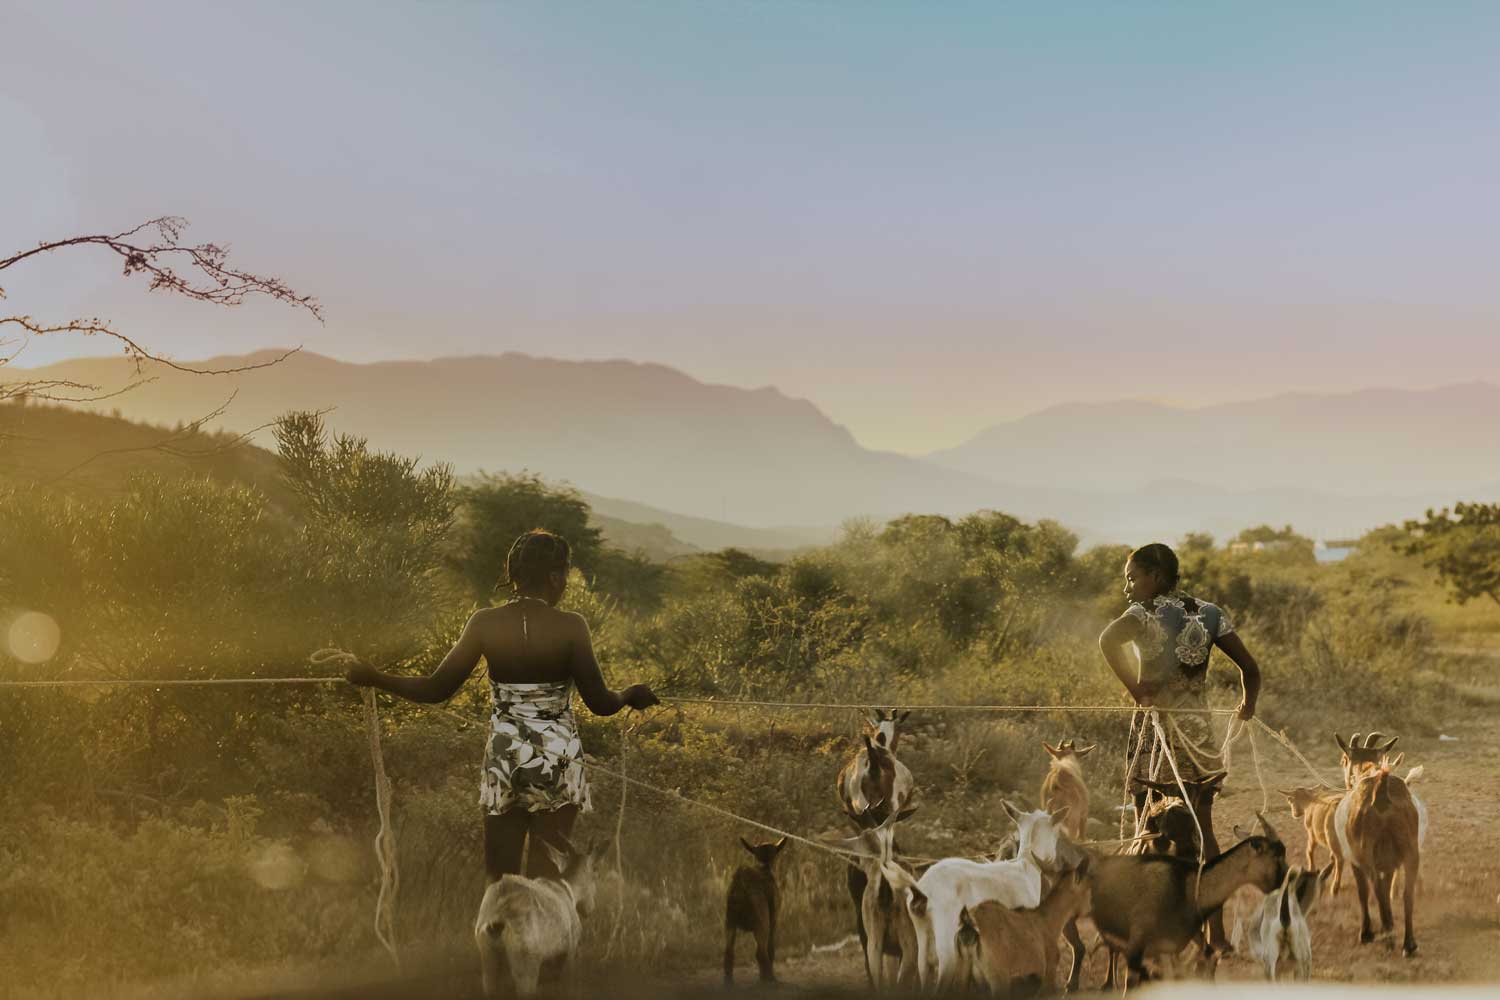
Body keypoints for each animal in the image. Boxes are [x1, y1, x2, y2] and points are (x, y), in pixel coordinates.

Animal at [471, 839, 606, 995]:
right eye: (595, 873)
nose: (589, 909)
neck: (568, 889)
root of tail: (498, 921)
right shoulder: (569, 954)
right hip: (526, 965)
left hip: (489, 962)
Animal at [723, 839, 792, 983]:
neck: (764, 867)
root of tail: (741, 882)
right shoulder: (773, 920)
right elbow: (770, 948)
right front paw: (764, 977)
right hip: (761, 921)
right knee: (761, 951)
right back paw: (771, 980)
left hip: (730, 921)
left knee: (729, 952)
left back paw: (729, 983)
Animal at [1086, 815, 1284, 995]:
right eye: (1277, 856)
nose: (1282, 882)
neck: (1187, 886)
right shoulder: (1137, 947)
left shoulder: (1169, 948)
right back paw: (1105, 983)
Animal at [1338, 755, 1416, 959]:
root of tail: (1381, 792)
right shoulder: (1389, 864)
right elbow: (1388, 888)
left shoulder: (1356, 860)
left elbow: (1363, 892)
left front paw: (1366, 933)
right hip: (1411, 851)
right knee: (1407, 893)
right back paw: (1408, 944)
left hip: (1366, 853)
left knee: (1376, 889)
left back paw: (1389, 939)